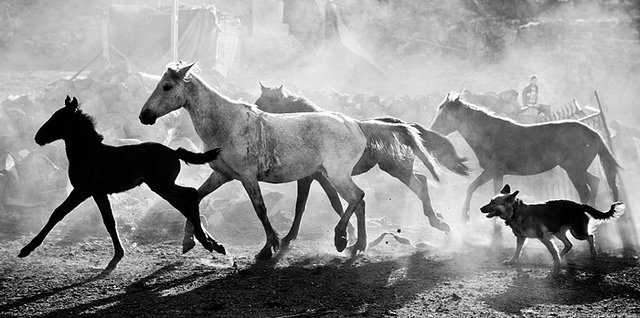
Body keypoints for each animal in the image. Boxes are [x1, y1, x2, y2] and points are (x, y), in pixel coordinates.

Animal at [18, 95, 225, 272]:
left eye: (58, 119)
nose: (38, 137)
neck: (88, 153)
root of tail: (174, 152)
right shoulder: (98, 193)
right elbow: (109, 221)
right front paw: (118, 253)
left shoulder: (82, 190)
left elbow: (57, 213)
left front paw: (27, 249)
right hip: (162, 189)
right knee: (185, 206)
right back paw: (213, 244)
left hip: (162, 185)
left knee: (191, 194)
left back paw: (206, 242)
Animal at [430, 93, 620, 222]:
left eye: (445, 115)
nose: (431, 131)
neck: (489, 133)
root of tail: (594, 133)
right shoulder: (492, 172)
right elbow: (472, 187)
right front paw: (465, 216)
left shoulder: (495, 172)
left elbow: (484, 190)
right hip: (575, 169)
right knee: (594, 182)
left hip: (574, 170)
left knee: (585, 191)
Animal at [482, 184, 624, 270]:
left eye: (493, 202)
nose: (480, 208)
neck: (516, 211)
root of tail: (579, 205)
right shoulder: (521, 238)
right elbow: (517, 251)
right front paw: (512, 261)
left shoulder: (544, 237)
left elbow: (552, 250)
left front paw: (556, 264)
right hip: (558, 232)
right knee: (569, 244)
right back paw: (562, 256)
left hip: (576, 232)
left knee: (590, 236)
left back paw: (593, 253)